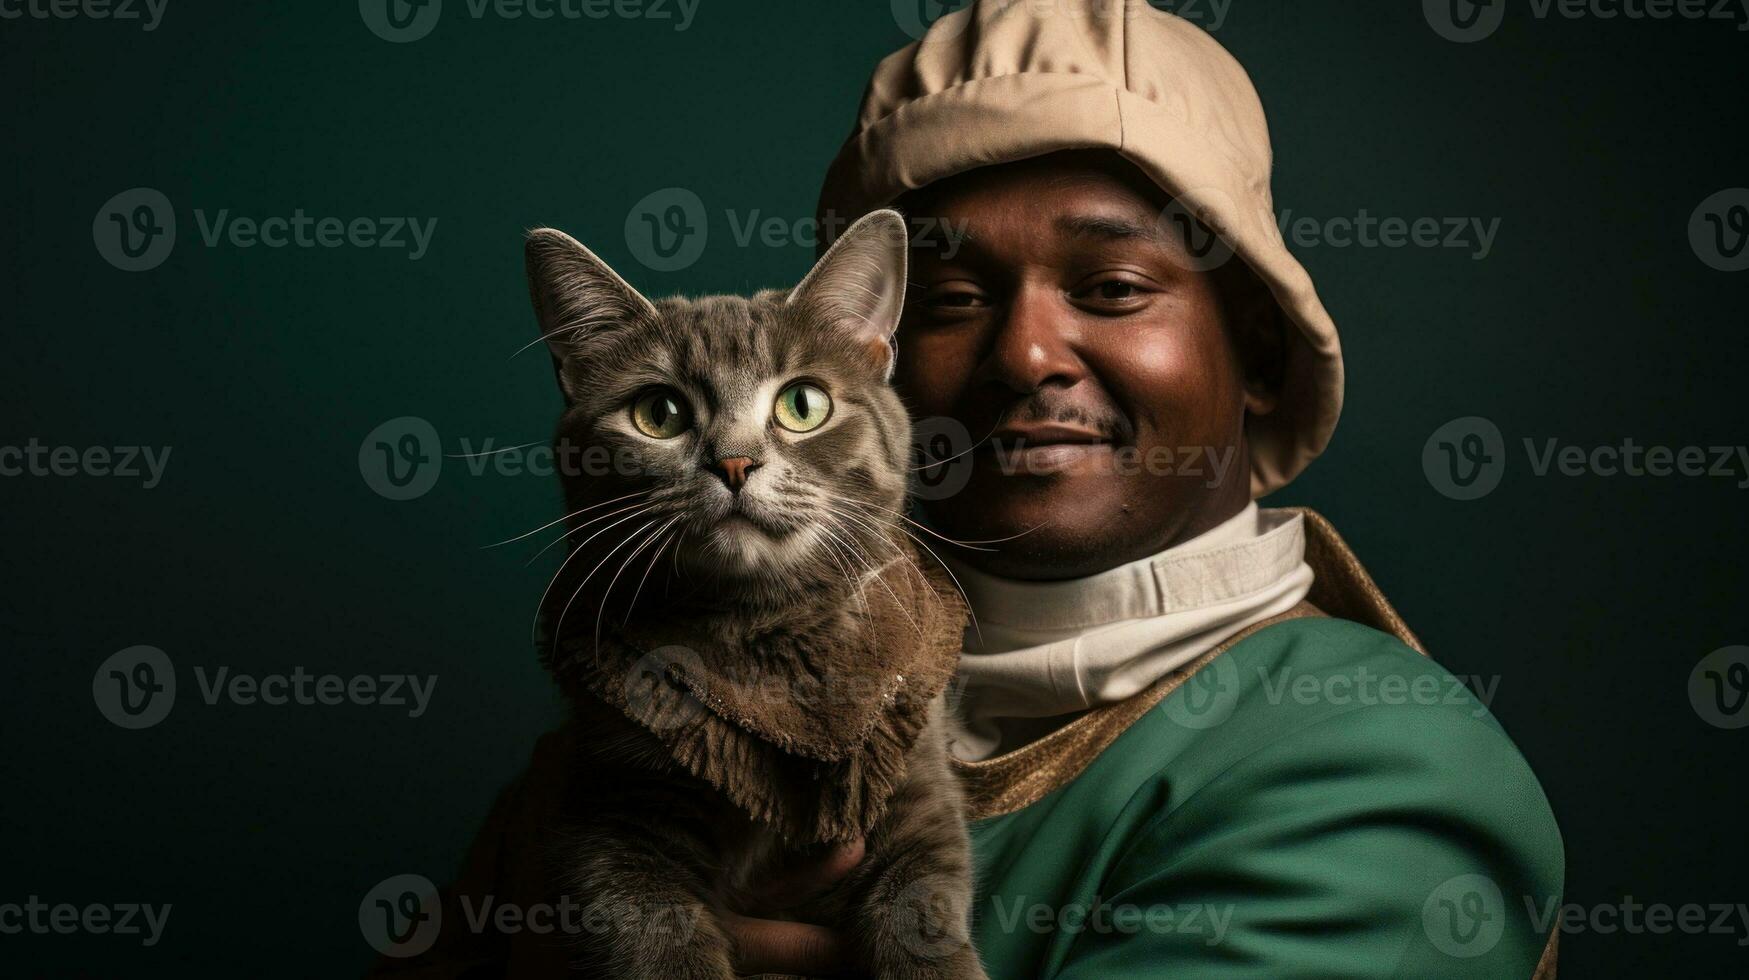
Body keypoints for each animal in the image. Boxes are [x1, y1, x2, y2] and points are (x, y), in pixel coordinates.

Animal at [521, 212, 986, 980]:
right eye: (658, 413)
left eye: (803, 404)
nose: (734, 462)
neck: (764, 629)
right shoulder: (610, 817)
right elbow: (655, 940)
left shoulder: (912, 778)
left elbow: (920, 912)